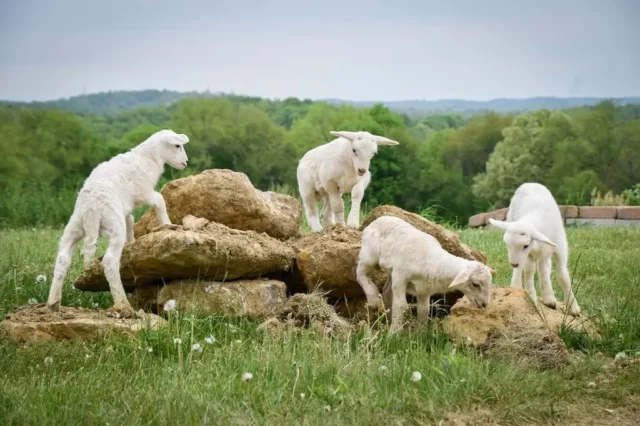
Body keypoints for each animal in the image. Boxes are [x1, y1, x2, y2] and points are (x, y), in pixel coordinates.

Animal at [47, 129, 190, 316]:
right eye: (177, 145)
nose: (185, 162)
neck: (147, 158)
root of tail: (92, 207)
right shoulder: (143, 192)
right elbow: (159, 200)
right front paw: (168, 223)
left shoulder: (126, 206)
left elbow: (130, 220)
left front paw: (132, 243)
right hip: (113, 225)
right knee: (109, 261)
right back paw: (123, 304)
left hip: (75, 225)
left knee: (62, 259)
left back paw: (53, 303)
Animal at [356, 216, 496, 332]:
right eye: (475, 284)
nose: (484, 304)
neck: (432, 260)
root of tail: (379, 219)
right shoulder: (400, 276)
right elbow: (401, 305)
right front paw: (394, 334)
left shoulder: (424, 289)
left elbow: (424, 310)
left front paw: (420, 334)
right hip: (369, 255)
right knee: (360, 273)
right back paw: (373, 298)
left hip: (391, 271)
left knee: (386, 292)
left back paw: (389, 318)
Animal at [488, 182, 584, 316]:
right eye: (506, 244)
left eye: (525, 245)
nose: (513, 264)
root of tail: (529, 183)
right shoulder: (529, 255)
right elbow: (529, 272)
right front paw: (532, 298)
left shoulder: (559, 249)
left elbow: (562, 276)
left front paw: (572, 307)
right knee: (525, 270)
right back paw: (516, 285)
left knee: (545, 268)